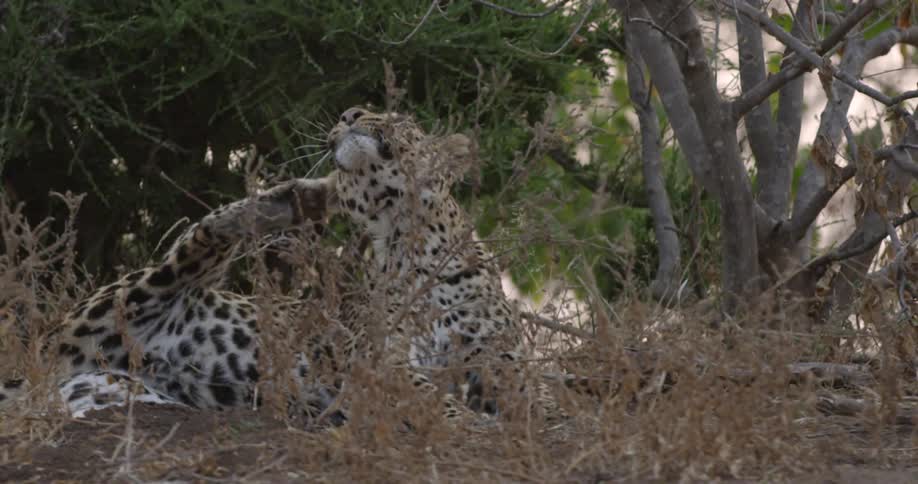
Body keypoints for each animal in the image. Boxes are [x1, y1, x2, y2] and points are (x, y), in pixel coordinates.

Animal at [327, 106, 563, 421]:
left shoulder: (497, 348)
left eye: (400, 118)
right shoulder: (374, 356)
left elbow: (533, 388)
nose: (350, 113)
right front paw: (466, 420)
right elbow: (423, 395)